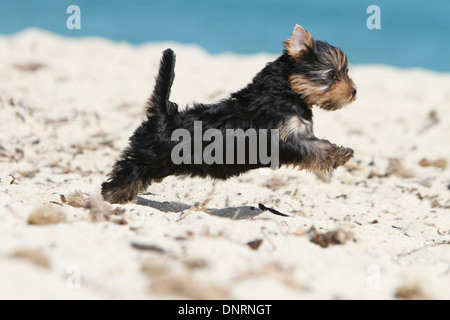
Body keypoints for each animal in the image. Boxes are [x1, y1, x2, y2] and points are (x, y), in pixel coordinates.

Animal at [101, 25, 356, 205]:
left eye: (345, 72)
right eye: (332, 74)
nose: (354, 91)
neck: (286, 93)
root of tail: (163, 114)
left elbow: (316, 143)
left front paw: (339, 152)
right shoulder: (280, 139)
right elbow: (313, 148)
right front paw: (339, 154)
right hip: (151, 155)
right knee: (130, 170)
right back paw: (111, 195)